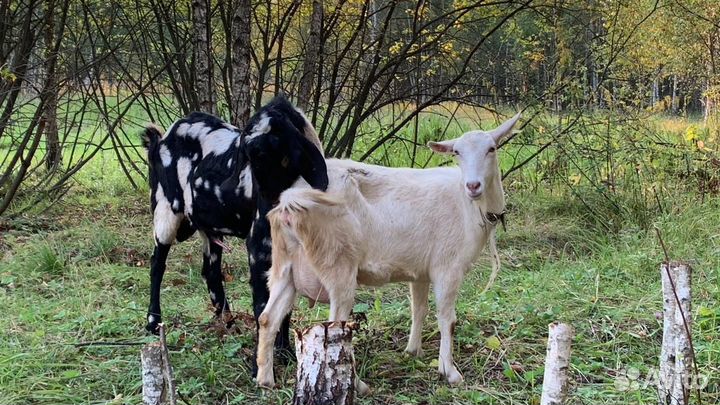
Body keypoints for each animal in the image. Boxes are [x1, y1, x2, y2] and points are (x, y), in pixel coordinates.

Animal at [141, 96, 327, 373]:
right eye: (242, 152)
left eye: (262, 154)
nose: (228, 186)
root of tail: (161, 139)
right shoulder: (258, 246)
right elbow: (263, 305)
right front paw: (260, 366)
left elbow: (284, 304)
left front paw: (284, 352)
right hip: (166, 210)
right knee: (157, 264)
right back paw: (153, 321)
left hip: (207, 228)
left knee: (210, 272)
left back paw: (227, 320)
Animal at [250, 113, 521, 388]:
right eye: (457, 152)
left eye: (492, 149)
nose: (473, 185)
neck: (469, 205)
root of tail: (290, 200)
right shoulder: (448, 267)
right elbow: (448, 319)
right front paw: (450, 371)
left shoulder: (420, 272)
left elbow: (419, 309)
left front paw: (413, 351)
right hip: (337, 265)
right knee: (335, 326)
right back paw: (357, 384)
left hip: (284, 266)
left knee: (267, 318)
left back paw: (265, 379)